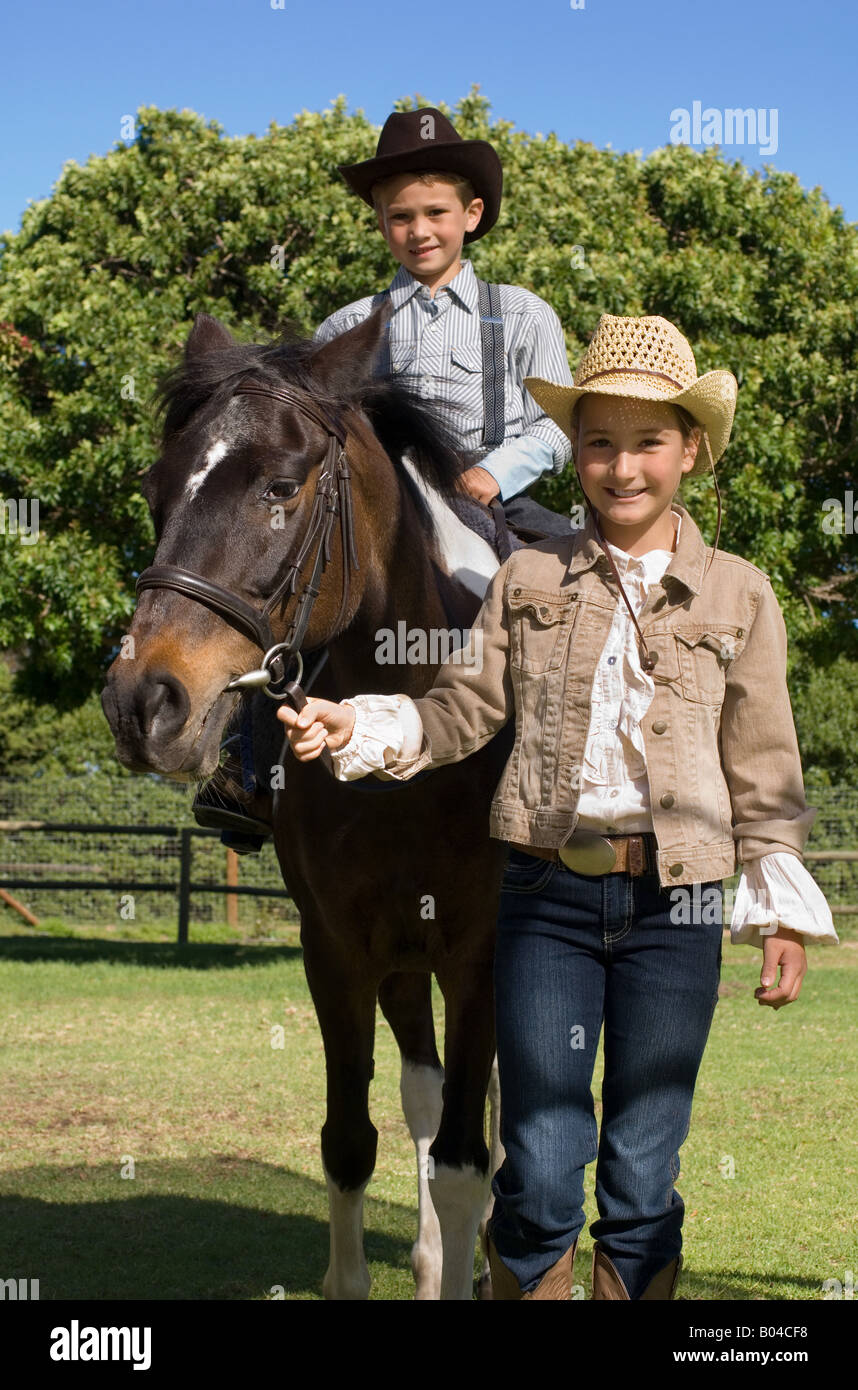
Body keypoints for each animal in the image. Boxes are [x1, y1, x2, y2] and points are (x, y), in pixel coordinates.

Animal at [102, 309, 514, 1295]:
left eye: (281, 488)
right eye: (156, 491)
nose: (141, 701)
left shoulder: (480, 954)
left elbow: (466, 1158)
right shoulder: (337, 952)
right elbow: (352, 1142)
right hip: (400, 965)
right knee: (425, 1094)